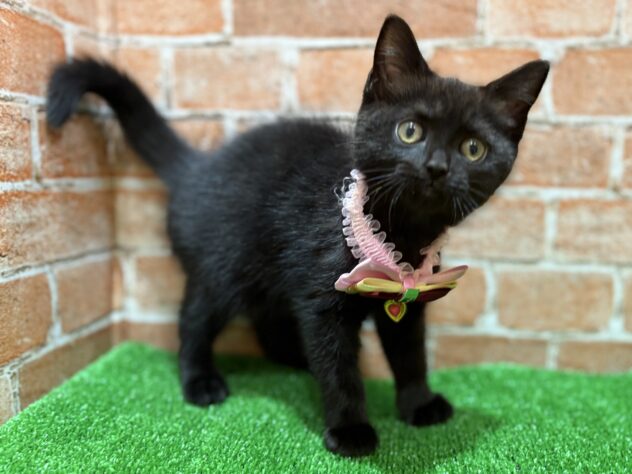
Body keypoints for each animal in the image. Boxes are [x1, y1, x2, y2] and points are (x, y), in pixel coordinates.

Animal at [47, 15, 548, 457]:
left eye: (473, 149)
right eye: (410, 131)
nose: (437, 167)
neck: (400, 232)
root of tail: (196, 167)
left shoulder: (409, 296)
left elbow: (410, 353)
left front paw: (418, 404)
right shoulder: (322, 300)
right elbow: (339, 367)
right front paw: (350, 430)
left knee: (267, 320)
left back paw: (296, 359)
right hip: (223, 268)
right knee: (195, 318)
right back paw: (200, 381)